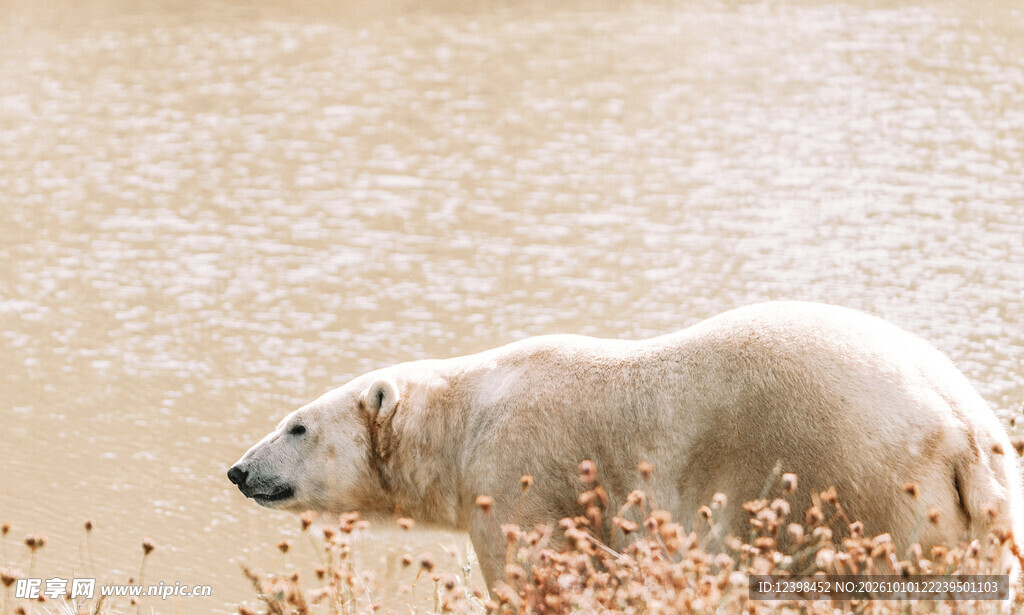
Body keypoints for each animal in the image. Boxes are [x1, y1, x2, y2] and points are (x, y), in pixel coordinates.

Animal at [228, 301, 1023, 591]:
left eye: (296, 426)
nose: (238, 469)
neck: (466, 415)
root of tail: (963, 430)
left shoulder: (520, 473)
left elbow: (540, 574)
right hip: (972, 517)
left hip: (855, 480)